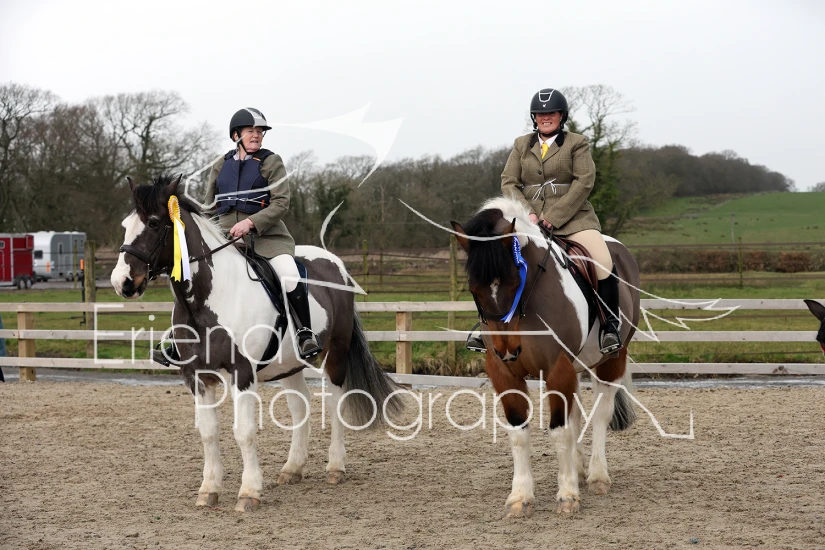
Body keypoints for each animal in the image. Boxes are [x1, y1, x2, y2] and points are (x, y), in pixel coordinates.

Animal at [111, 174, 402, 512]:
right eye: (125, 224)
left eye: (155, 223)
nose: (122, 282)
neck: (209, 296)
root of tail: (336, 265)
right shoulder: (196, 375)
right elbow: (208, 432)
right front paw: (208, 490)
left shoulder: (242, 372)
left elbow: (244, 432)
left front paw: (248, 492)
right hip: (289, 364)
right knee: (300, 406)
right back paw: (292, 469)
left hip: (336, 353)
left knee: (334, 403)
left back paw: (335, 468)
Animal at [451, 197, 641, 517]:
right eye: (474, 289)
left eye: (515, 281)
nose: (508, 350)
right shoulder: (504, 373)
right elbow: (519, 432)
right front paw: (520, 497)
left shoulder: (556, 368)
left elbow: (559, 431)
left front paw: (567, 496)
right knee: (576, 414)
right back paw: (578, 468)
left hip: (611, 360)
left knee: (600, 413)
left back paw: (597, 476)